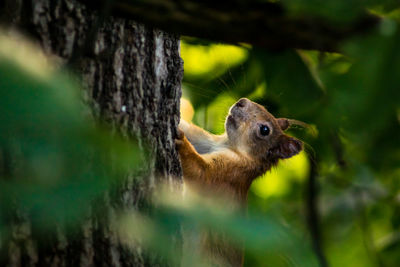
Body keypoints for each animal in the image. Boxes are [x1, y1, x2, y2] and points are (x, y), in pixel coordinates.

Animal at [175, 98, 304, 267]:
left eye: (264, 130)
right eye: (262, 106)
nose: (242, 101)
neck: (229, 145)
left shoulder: (229, 174)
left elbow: (202, 173)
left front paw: (181, 143)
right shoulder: (206, 141)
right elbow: (189, 129)